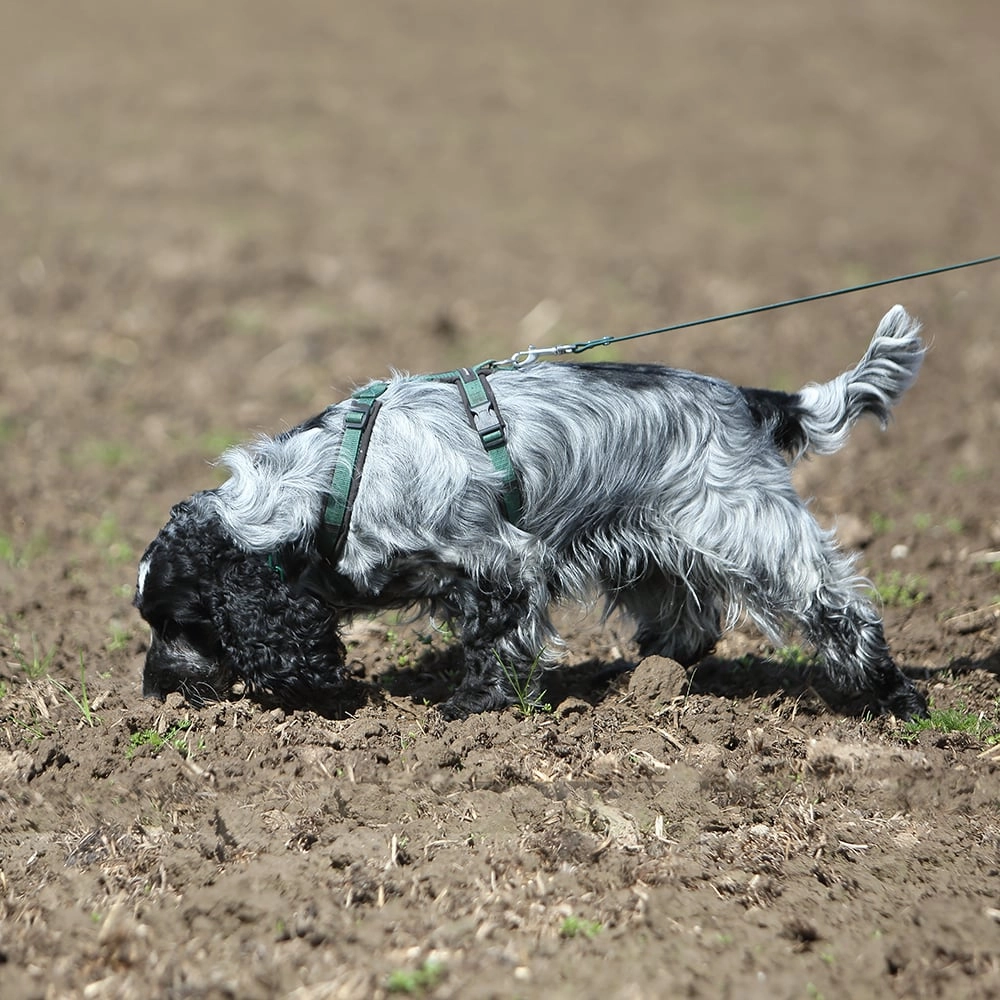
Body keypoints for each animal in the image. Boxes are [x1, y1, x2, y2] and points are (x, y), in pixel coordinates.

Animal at [133, 304, 928, 720]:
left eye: (181, 623)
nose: (152, 692)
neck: (329, 482)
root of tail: (751, 399)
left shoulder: (501, 562)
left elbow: (498, 645)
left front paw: (470, 713)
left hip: (751, 530)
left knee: (839, 607)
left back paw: (892, 696)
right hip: (648, 548)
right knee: (690, 622)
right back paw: (640, 682)